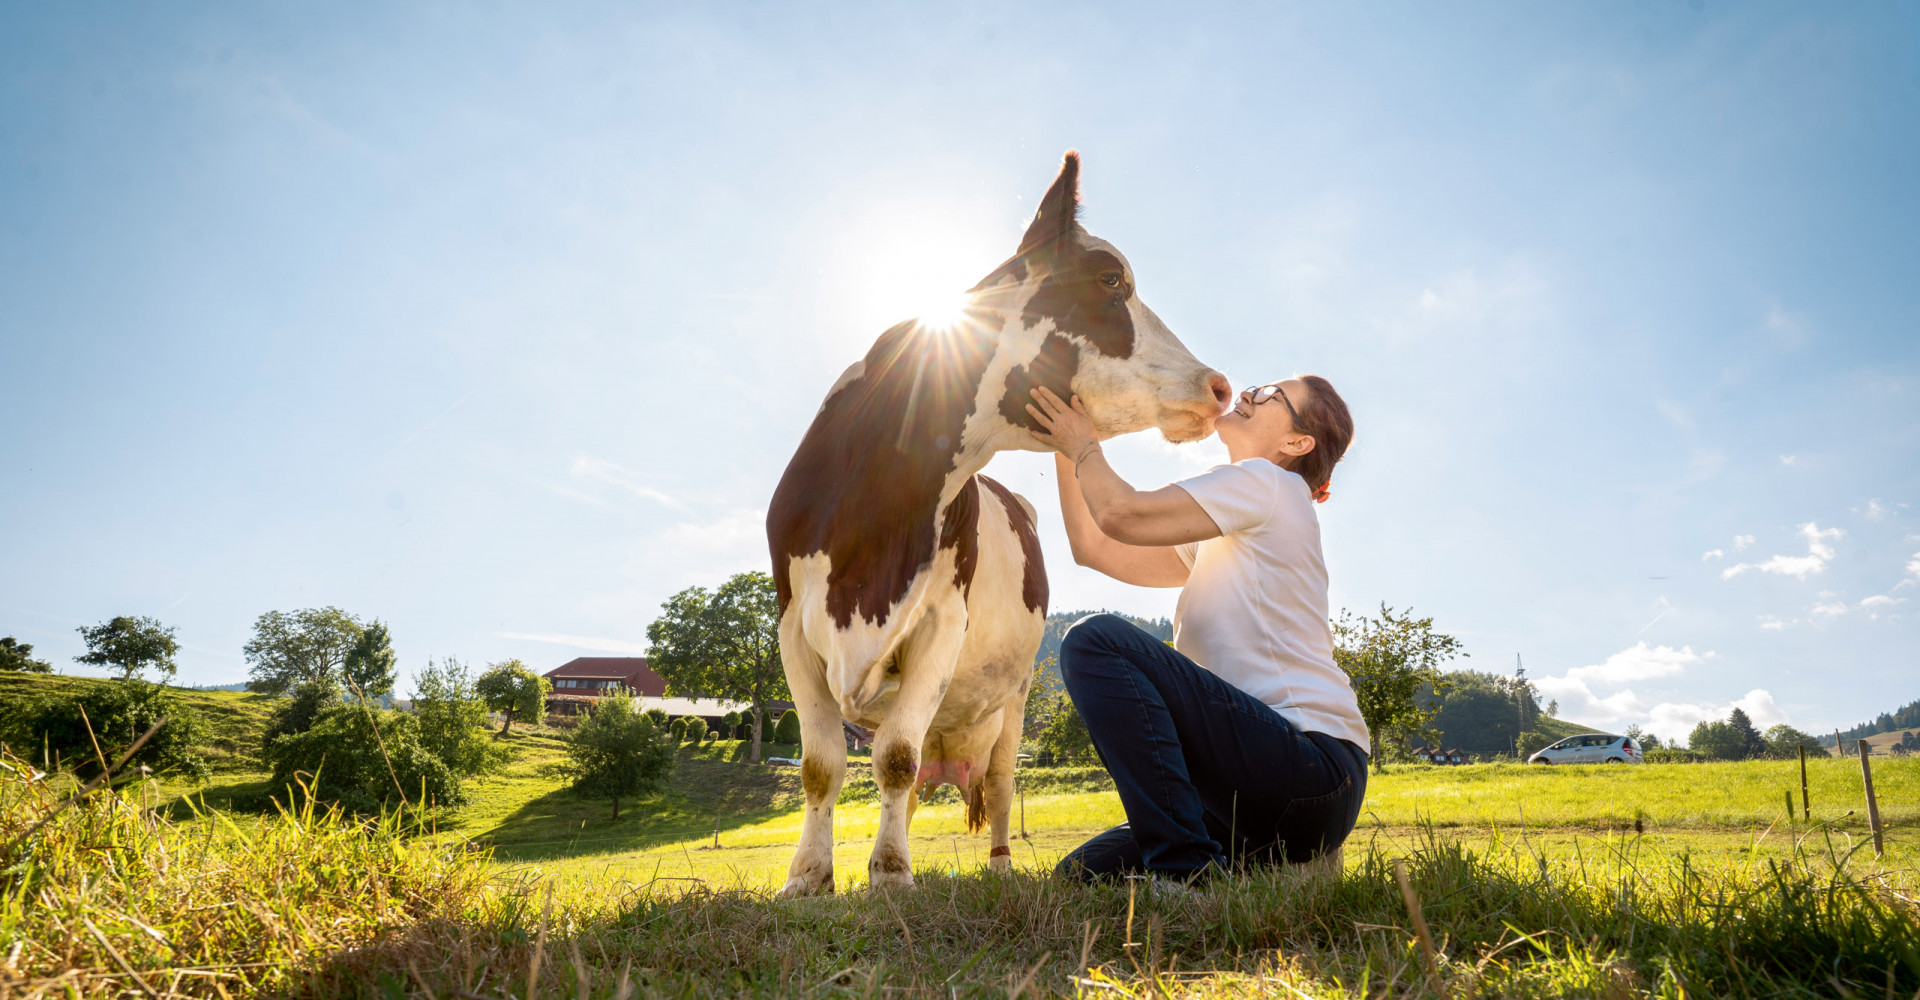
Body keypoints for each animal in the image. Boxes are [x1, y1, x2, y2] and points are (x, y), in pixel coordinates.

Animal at [764, 151, 1228, 894]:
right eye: (1110, 279)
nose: (1218, 386)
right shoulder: (791, 628)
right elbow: (822, 766)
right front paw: (810, 878)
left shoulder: (941, 625)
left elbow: (892, 758)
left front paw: (889, 875)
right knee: (914, 780)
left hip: (1011, 700)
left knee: (1000, 782)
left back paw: (1001, 870)